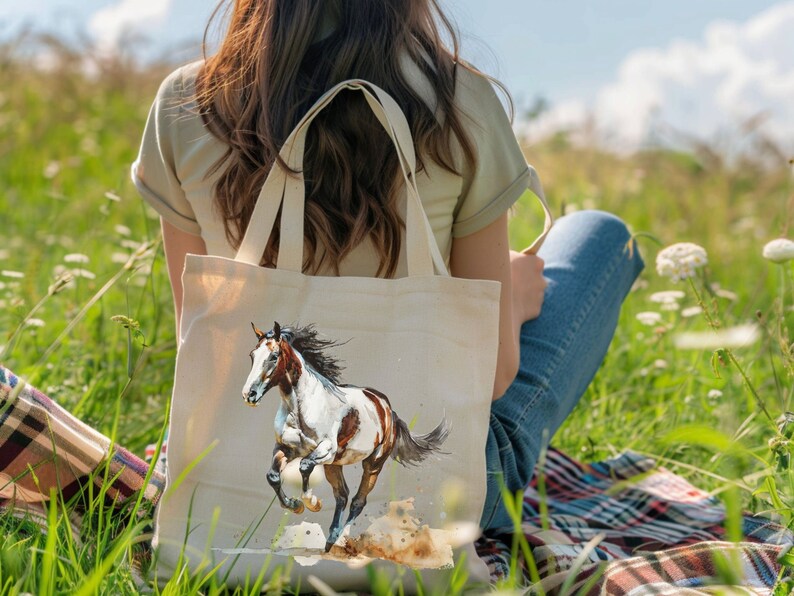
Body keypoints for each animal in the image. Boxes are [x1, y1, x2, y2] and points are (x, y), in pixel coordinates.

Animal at [241, 321, 450, 552]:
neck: (301, 410)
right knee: (342, 495)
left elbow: (304, 466)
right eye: (252, 355)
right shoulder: (286, 449)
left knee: (358, 501)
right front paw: (295, 506)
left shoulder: (325, 450)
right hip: (334, 465)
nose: (249, 394)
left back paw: (343, 538)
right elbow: (273, 476)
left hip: (372, 463)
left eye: (274, 356)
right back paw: (331, 539)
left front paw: (312, 503)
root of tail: (388, 410)